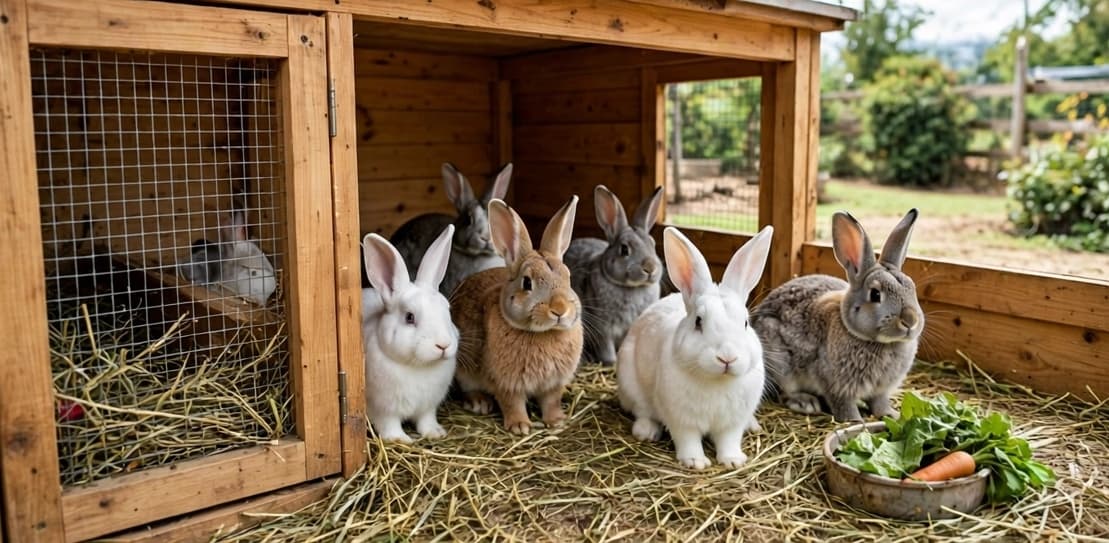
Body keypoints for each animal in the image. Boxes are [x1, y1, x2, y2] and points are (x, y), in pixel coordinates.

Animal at [361, 225, 459, 443]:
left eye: (448, 310)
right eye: (409, 317)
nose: (443, 345)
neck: (417, 367)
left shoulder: (428, 406)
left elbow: (426, 419)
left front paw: (435, 433)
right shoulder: (383, 408)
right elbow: (389, 424)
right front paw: (399, 439)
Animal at [451, 196, 583, 435]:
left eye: (568, 277)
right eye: (527, 283)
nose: (559, 309)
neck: (543, 333)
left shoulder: (553, 384)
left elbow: (551, 401)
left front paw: (557, 421)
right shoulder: (506, 383)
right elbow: (512, 403)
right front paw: (520, 426)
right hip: (464, 370)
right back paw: (479, 402)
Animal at [563, 185, 664, 366]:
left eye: (652, 244)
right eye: (624, 249)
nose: (650, 268)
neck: (631, 288)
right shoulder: (603, 328)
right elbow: (606, 347)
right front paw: (612, 362)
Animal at [617, 225, 773, 470]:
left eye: (746, 323)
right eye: (698, 321)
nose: (727, 358)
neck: (717, 381)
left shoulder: (732, 424)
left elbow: (729, 440)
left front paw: (733, 461)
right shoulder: (681, 421)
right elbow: (688, 440)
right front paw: (695, 462)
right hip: (629, 382)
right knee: (641, 410)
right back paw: (646, 431)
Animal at [750, 209, 923, 422]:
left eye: (912, 288)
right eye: (875, 294)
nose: (910, 321)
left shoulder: (880, 390)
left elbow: (879, 403)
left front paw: (892, 415)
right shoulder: (836, 386)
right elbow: (843, 405)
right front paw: (855, 422)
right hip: (780, 363)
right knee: (784, 391)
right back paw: (805, 403)